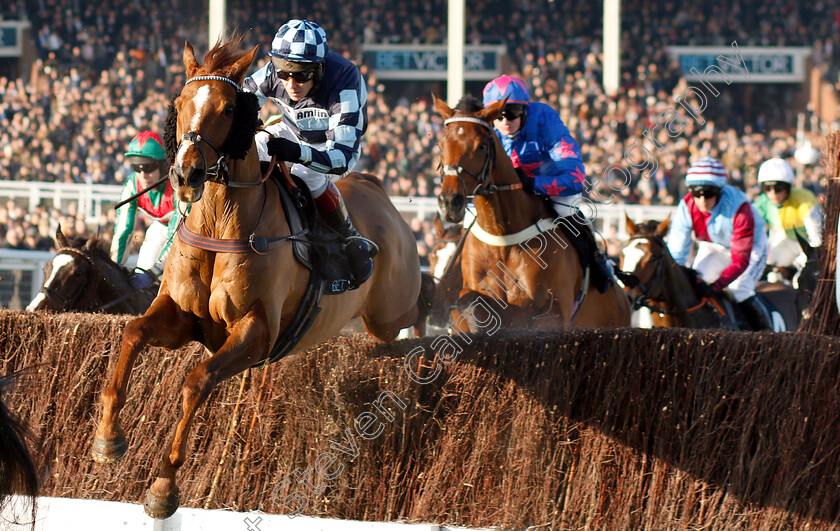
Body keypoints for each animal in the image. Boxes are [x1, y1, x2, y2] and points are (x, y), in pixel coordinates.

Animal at [90, 38, 426, 520]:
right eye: (180, 102)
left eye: (229, 108)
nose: (186, 174)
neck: (221, 225)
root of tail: (377, 190)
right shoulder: (180, 315)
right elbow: (133, 333)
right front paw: (107, 439)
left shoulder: (258, 331)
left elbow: (196, 381)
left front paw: (163, 486)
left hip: (388, 308)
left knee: (417, 306)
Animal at [434, 93, 632, 330]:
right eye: (441, 145)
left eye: (481, 146)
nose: (449, 201)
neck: (503, 237)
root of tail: (623, 298)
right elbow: (468, 303)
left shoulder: (549, 312)